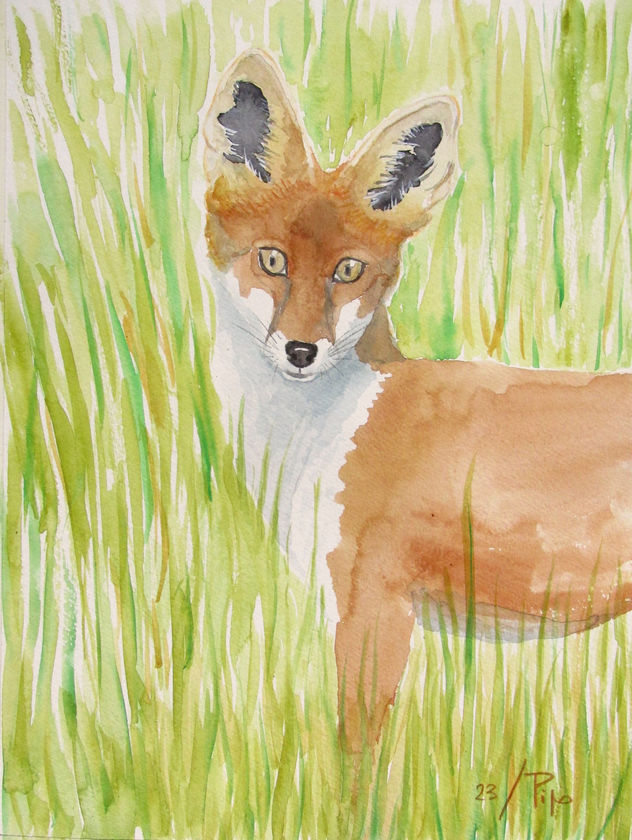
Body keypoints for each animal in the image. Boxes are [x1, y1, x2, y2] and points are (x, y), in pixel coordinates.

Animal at [203, 50, 632, 749]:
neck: (329, 432)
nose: (301, 351)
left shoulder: (374, 608)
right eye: (272, 260)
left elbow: (355, 766)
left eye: (348, 271)